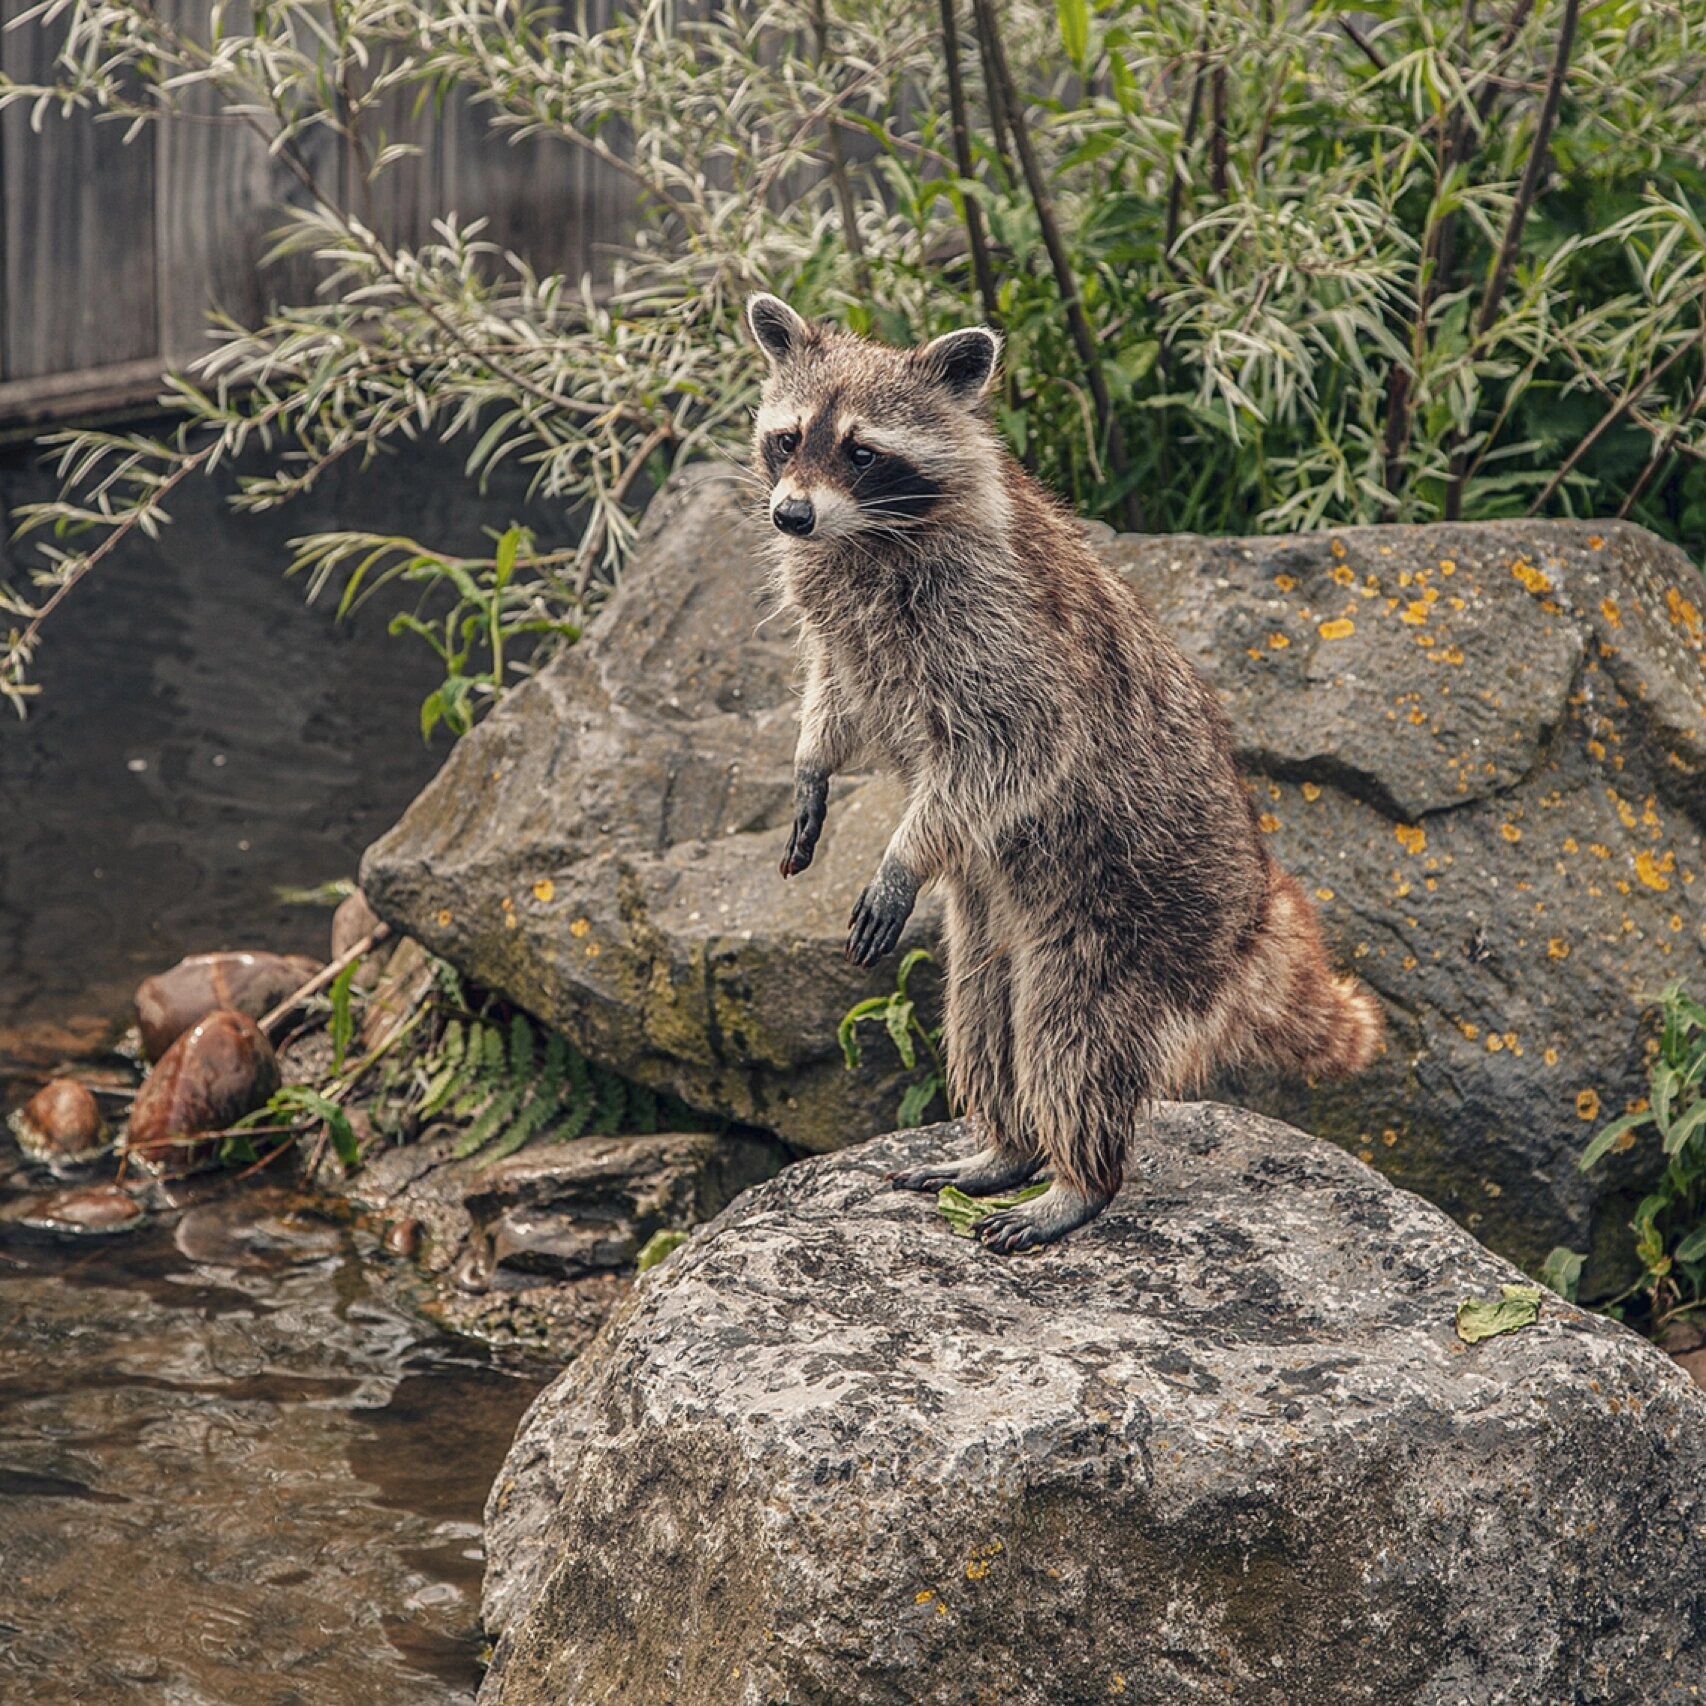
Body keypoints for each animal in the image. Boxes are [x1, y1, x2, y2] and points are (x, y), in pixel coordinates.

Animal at [748, 292, 1383, 1252]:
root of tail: (1254, 917)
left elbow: (1019, 746)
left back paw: (1078, 1179)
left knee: (1071, 1035)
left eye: (861, 452)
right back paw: (1005, 1144)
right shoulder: (846, 625)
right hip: (997, 918)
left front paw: (905, 852)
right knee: (982, 1010)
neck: (868, 536)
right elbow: (837, 693)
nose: (791, 517)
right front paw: (812, 762)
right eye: (787, 439)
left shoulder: (998, 627)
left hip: (1129, 920)